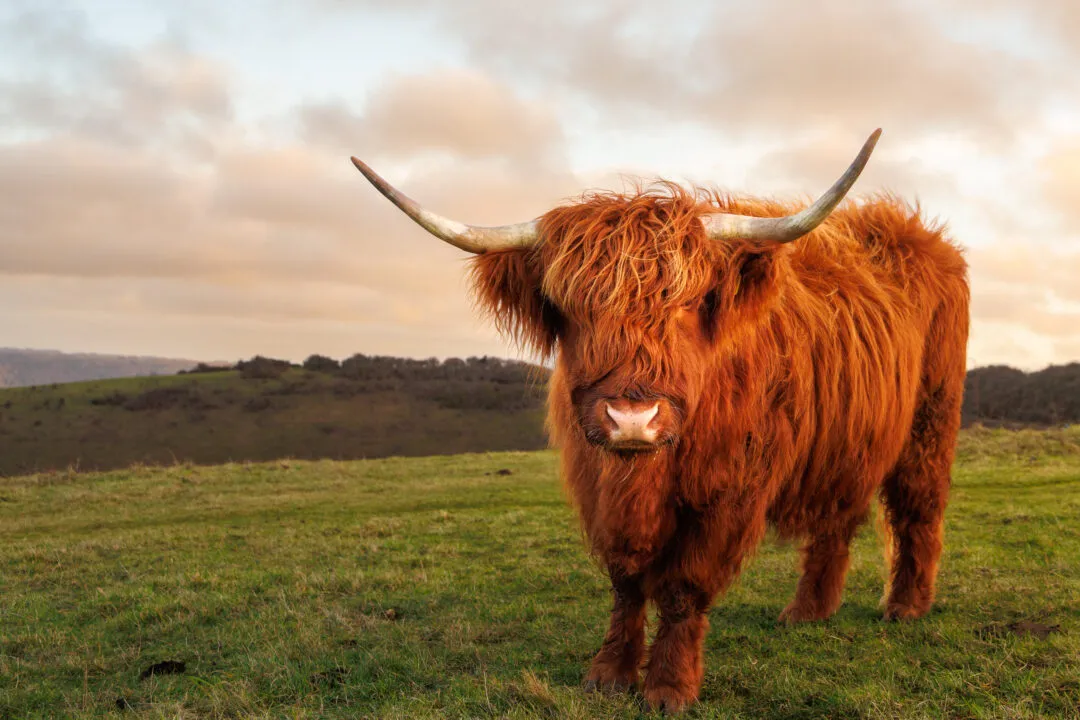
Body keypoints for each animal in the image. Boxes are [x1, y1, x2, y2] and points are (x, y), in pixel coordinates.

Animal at [350, 129, 970, 714]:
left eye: (689, 305)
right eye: (571, 309)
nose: (632, 419)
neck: (646, 477)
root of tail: (912, 230)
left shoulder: (729, 492)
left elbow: (683, 587)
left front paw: (669, 686)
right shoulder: (597, 485)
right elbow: (626, 583)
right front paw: (609, 675)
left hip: (930, 424)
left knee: (917, 508)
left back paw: (906, 607)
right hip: (848, 443)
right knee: (837, 520)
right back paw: (808, 611)